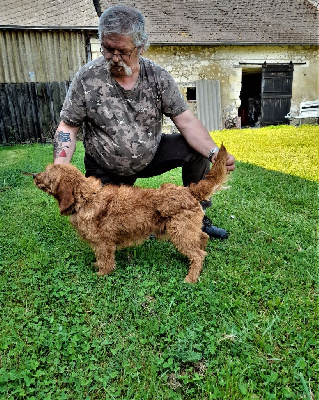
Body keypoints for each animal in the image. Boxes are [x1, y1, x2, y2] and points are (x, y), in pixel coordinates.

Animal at [33, 145, 229, 282]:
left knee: (198, 254)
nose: (34, 175)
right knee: (203, 238)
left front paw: (101, 275)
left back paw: (191, 277)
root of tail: (190, 191)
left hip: (180, 232)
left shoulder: (103, 244)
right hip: (188, 230)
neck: (86, 197)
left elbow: (105, 261)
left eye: (47, 174)